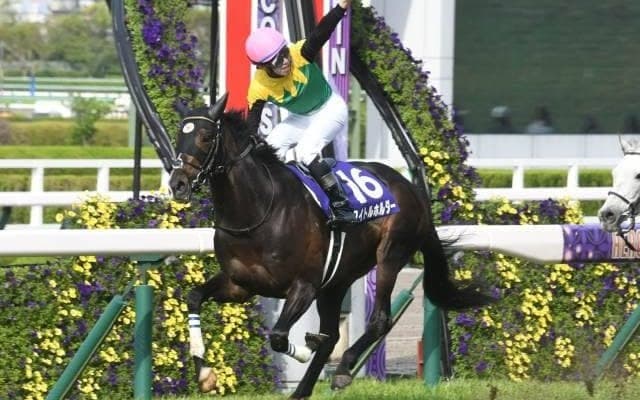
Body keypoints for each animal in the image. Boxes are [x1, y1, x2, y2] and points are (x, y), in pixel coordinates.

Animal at [168, 94, 493, 399]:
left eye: (205, 136)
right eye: (179, 135)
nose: (178, 183)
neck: (257, 211)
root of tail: (412, 189)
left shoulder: (304, 285)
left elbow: (278, 335)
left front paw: (304, 348)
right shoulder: (241, 284)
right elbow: (194, 298)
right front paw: (205, 374)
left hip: (390, 254)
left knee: (379, 320)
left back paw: (342, 370)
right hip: (336, 281)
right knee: (334, 334)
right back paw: (302, 389)